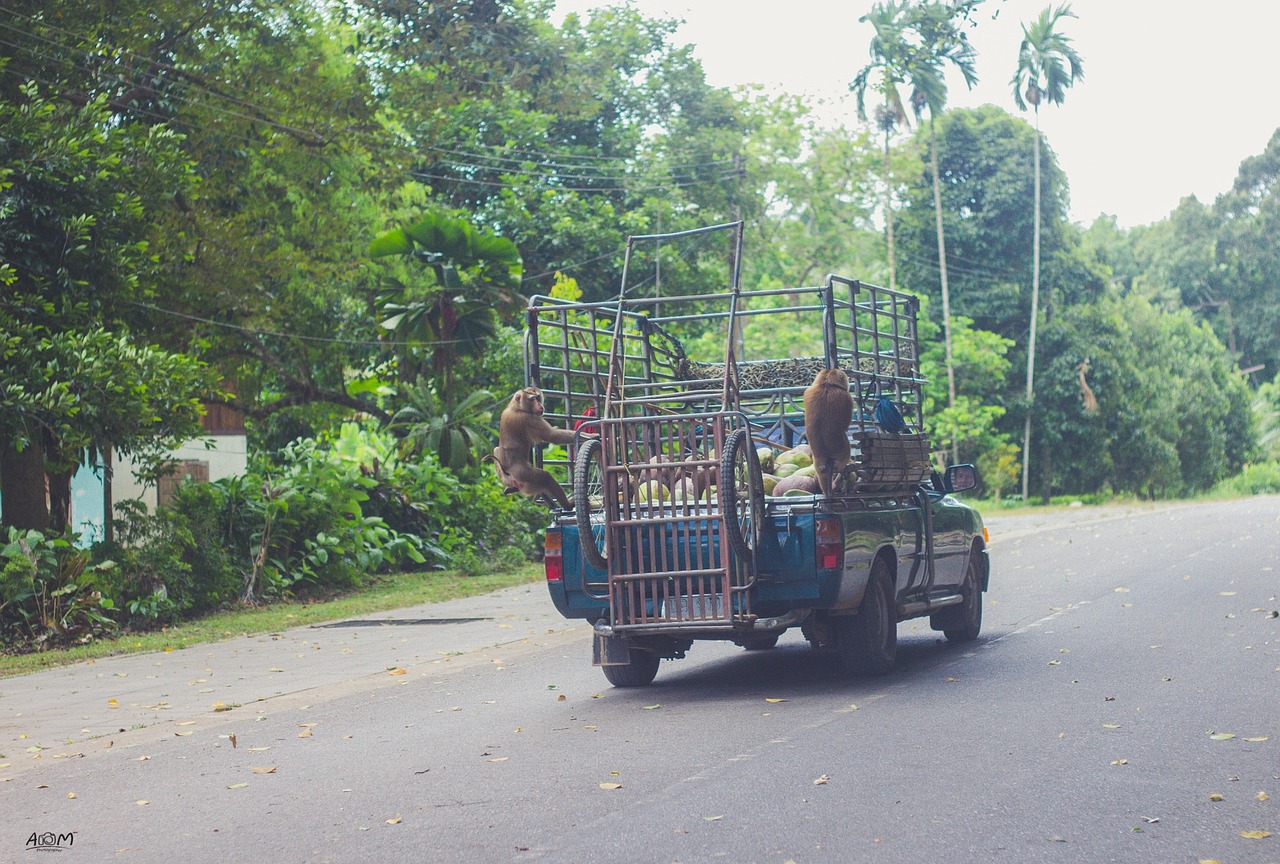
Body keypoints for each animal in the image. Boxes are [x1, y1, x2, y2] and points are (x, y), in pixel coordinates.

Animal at [803, 366, 855, 499]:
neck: (826, 385)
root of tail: (827, 457)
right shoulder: (847, 398)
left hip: (817, 463)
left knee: (822, 476)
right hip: (843, 455)